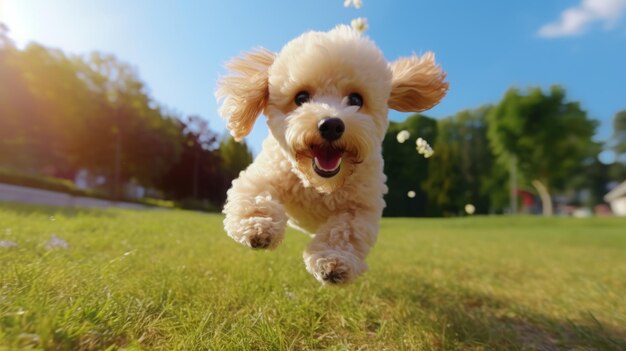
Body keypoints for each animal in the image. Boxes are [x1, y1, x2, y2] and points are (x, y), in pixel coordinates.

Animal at [217, 24, 446, 284]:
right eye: (301, 97)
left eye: (356, 99)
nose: (331, 125)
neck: (320, 186)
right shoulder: (264, 175)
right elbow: (255, 197)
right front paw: (258, 227)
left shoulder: (360, 207)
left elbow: (345, 230)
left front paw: (333, 261)